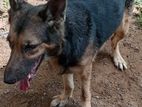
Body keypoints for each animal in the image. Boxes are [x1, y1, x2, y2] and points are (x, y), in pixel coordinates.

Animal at [3, 0, 134, 107]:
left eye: (31, 46)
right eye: (9, 42)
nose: (7, 80)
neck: (67, 40)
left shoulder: (85, 70)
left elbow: (85, 94)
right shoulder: (65, 65)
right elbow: (68, 85)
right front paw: (64, 98)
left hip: (123, 27)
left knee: (115, 41)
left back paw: (118, 58)